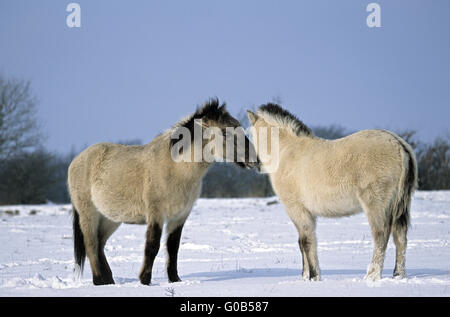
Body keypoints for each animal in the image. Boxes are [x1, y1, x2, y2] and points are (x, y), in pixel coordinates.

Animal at [66, 99, 256, 284]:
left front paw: (175, 280)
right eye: (225, 132)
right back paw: (99, 280)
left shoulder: (179, 216)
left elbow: (173, 247)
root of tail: (76, 161)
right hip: (88, 214)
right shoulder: (156, 214)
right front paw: (145, 280)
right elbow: (152, 246)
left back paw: (109, 281)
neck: (176, 168)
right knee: (91, 244)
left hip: (110, 218)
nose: (254, 159)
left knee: (100, 244)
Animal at [248, 103, 416, 278]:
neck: (286, 152)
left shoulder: (297, 209)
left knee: (381, 236)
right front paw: (306, 276)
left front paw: (313, 276)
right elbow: (305, 242)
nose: (255, 164)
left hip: (376, 205)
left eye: (251, 135)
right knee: (400, 238)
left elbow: (305, 241)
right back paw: (398, 274)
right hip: (400, 207)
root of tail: (398, 145)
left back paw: (372, 275)